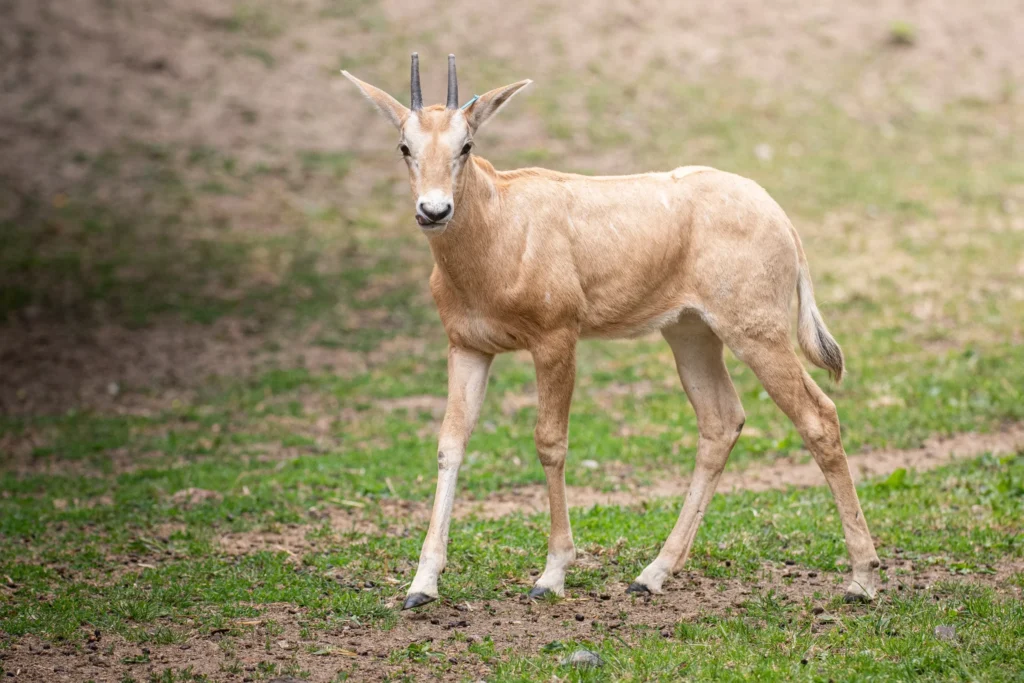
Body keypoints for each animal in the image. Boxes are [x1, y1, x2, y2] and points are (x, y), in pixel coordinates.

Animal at [342, 52, 880, 610]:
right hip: (691, 335)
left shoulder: (556, 340)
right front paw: (421, 584)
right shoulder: (467, 347)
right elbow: (451, 443)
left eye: (466, 145)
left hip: (757, 334)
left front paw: (551, 574)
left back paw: (862, 578)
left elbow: (550, 441)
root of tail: (778, 216)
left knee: (818, 417)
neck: (501, 223)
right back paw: (652, 573)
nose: (434, 211)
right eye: (405, 146)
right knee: (720, 422)